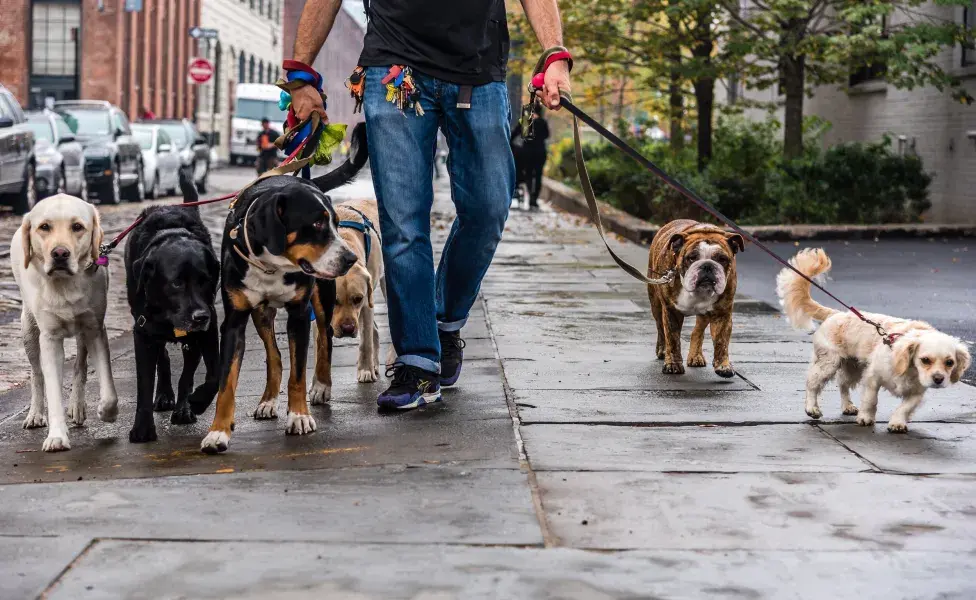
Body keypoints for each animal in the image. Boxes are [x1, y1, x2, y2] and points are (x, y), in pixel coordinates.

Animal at [11, 195, 118, 452]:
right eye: (44, 227)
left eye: (77, 227)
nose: (60, 253)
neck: (64, 285)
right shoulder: (49, 339)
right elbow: (52, 388)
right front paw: (57, 436)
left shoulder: (95, 329)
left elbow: (108, 388)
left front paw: (107, 412)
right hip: (28, 330)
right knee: (36, 374)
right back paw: (35, 413)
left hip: (82, 334)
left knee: (80, 365)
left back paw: (77, 406)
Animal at [124, 171, 219, 442]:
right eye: (176, 283)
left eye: (205, 280)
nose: (200, 316)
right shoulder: (143, 333)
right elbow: (145, 383)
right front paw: (142, 428)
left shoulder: (208, 329)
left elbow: (209, 374)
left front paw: (193, 404)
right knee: (163, 359)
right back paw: (165, 395)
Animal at [200, 122, 368, 452]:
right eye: (317, 224)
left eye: (335, 223)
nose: (350, 259)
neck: (273, 265)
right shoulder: (234, 321)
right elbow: (227, 383)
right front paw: (218, 432)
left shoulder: (299, 315)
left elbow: (298, 374)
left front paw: (299, 416)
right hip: (261, 313)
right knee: (274, 356)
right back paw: (267, 401)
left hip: (323, 299)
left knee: (325, 340)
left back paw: (322, 386)